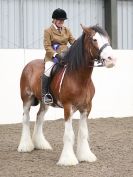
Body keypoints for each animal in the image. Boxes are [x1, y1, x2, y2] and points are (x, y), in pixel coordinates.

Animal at [17, 24, 115, 166]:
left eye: (107, 38)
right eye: (94, 40)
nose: (111, 59)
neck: (79, 78)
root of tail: (29, 65)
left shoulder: (86, 108)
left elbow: (83, 133)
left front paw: (85, 156)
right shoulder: (68, 107)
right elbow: (69, 134)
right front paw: (68, 160)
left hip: (44, 103)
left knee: (39, 117)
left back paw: (40, 144)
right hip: (26, 99)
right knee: (25, 118)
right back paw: (25, 146)